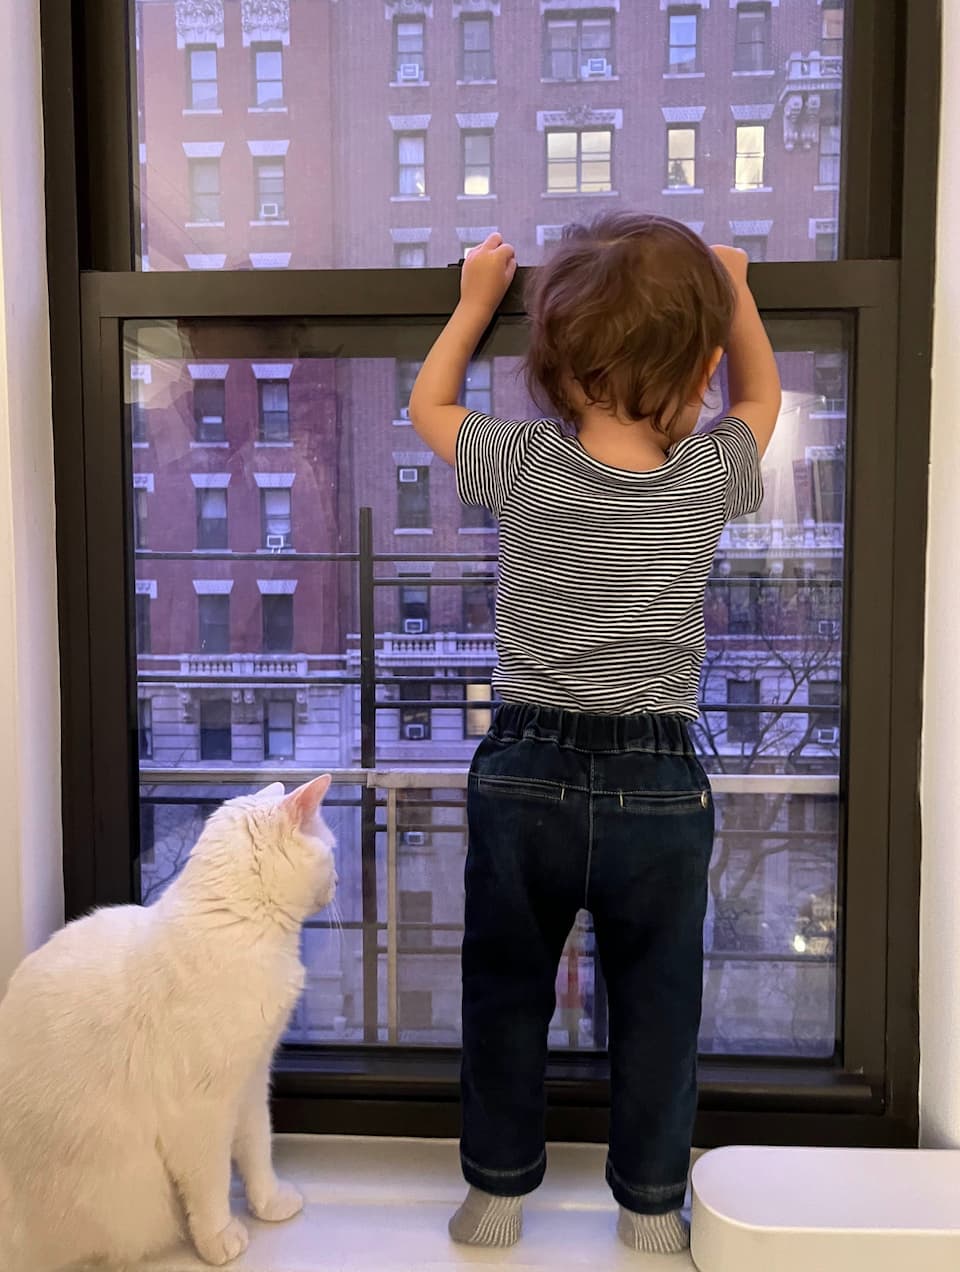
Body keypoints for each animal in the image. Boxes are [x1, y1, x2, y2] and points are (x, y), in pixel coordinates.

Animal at [0, 768, 340, 1266]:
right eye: (332, 852)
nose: (338, 883)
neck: (239, 927)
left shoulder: (251, 1081)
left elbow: (258, 1148)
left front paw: (270, 1203)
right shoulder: (202, 1110)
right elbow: (211, 1183)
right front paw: (220, 1239)